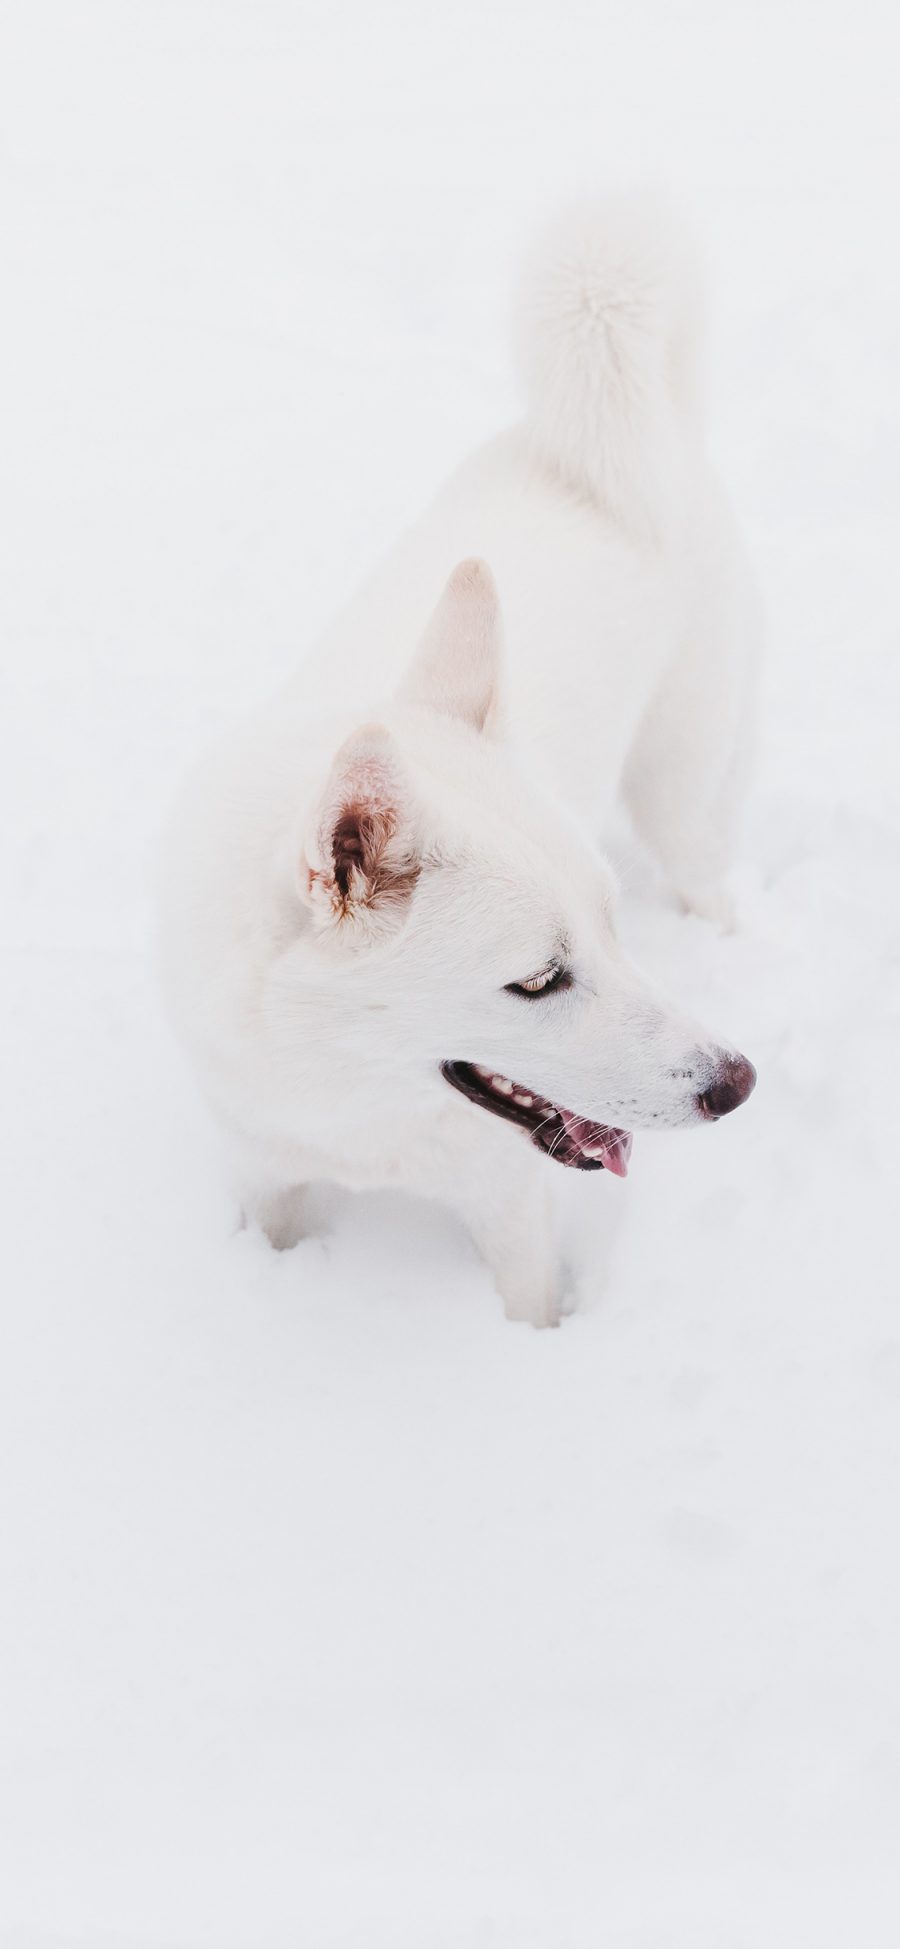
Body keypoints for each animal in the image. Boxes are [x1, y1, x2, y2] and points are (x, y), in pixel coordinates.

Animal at [159, 186, 759, 1325]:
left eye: (612, 927)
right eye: (539, 979)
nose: (734, 1083)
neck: (352, 1097)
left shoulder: (514, 1208)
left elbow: (530, 1308)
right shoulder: (262, 1172)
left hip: (679, 779)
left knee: (707, 866)